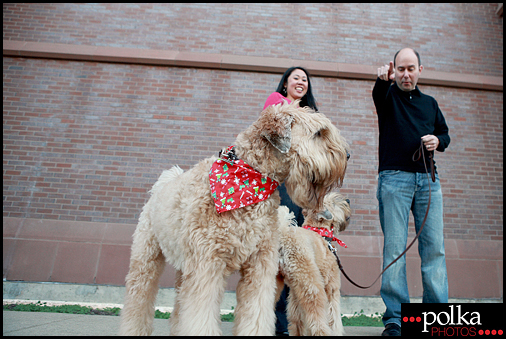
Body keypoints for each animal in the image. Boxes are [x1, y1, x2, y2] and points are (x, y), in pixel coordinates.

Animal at [276, 194, 352, 338]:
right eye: (334, 203)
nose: (348, 200)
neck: (320, 231)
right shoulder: (332, 287)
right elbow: (333, 316)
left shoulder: (295, 293)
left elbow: (297, 317)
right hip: (312, 284)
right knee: (317, 318)